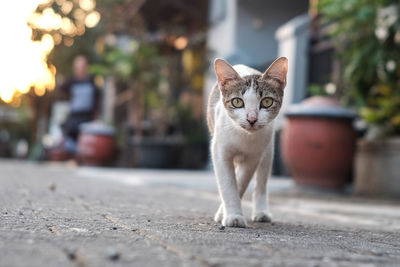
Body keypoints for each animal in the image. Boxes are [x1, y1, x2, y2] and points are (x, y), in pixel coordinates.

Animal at [206, 57, 288, 228]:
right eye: (237, 102)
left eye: (267, 102)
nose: (251, 119)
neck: (244, 137)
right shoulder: (219, 151)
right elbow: (228, 183)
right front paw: (233, 215)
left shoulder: (254, 156)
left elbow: (241, 181)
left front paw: (228, 213)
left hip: (268, 150)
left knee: (261, 183)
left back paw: (261, 212)